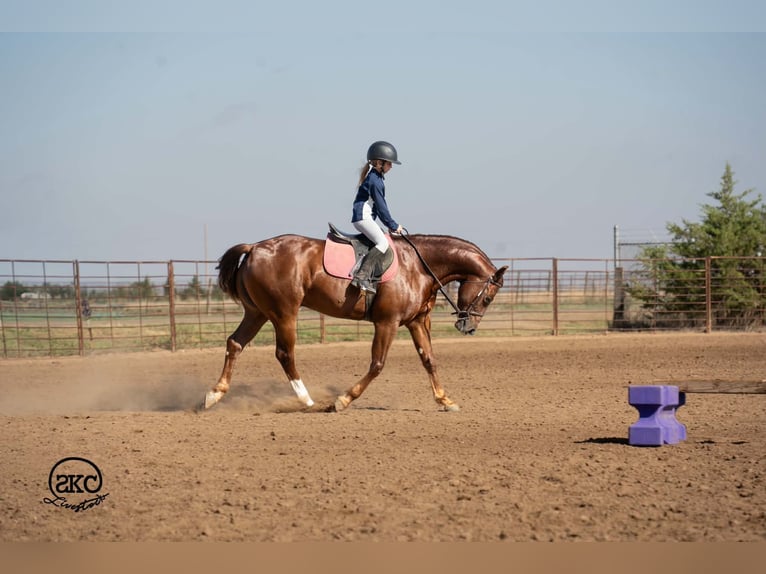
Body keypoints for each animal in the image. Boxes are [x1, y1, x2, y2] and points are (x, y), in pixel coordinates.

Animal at [202, 231, 508, 412]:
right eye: (488, 298)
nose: (468, 328)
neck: (418, 265)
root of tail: (255, 247)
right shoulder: (387, 323)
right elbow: (377, 364)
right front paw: (343, 399)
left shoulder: (416, 322)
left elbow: (429, 360)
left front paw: (445, 399)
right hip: (283, 314)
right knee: (284, 354)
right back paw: (307, 399)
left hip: (258, 313)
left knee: (235, 344)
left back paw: (214, 394)